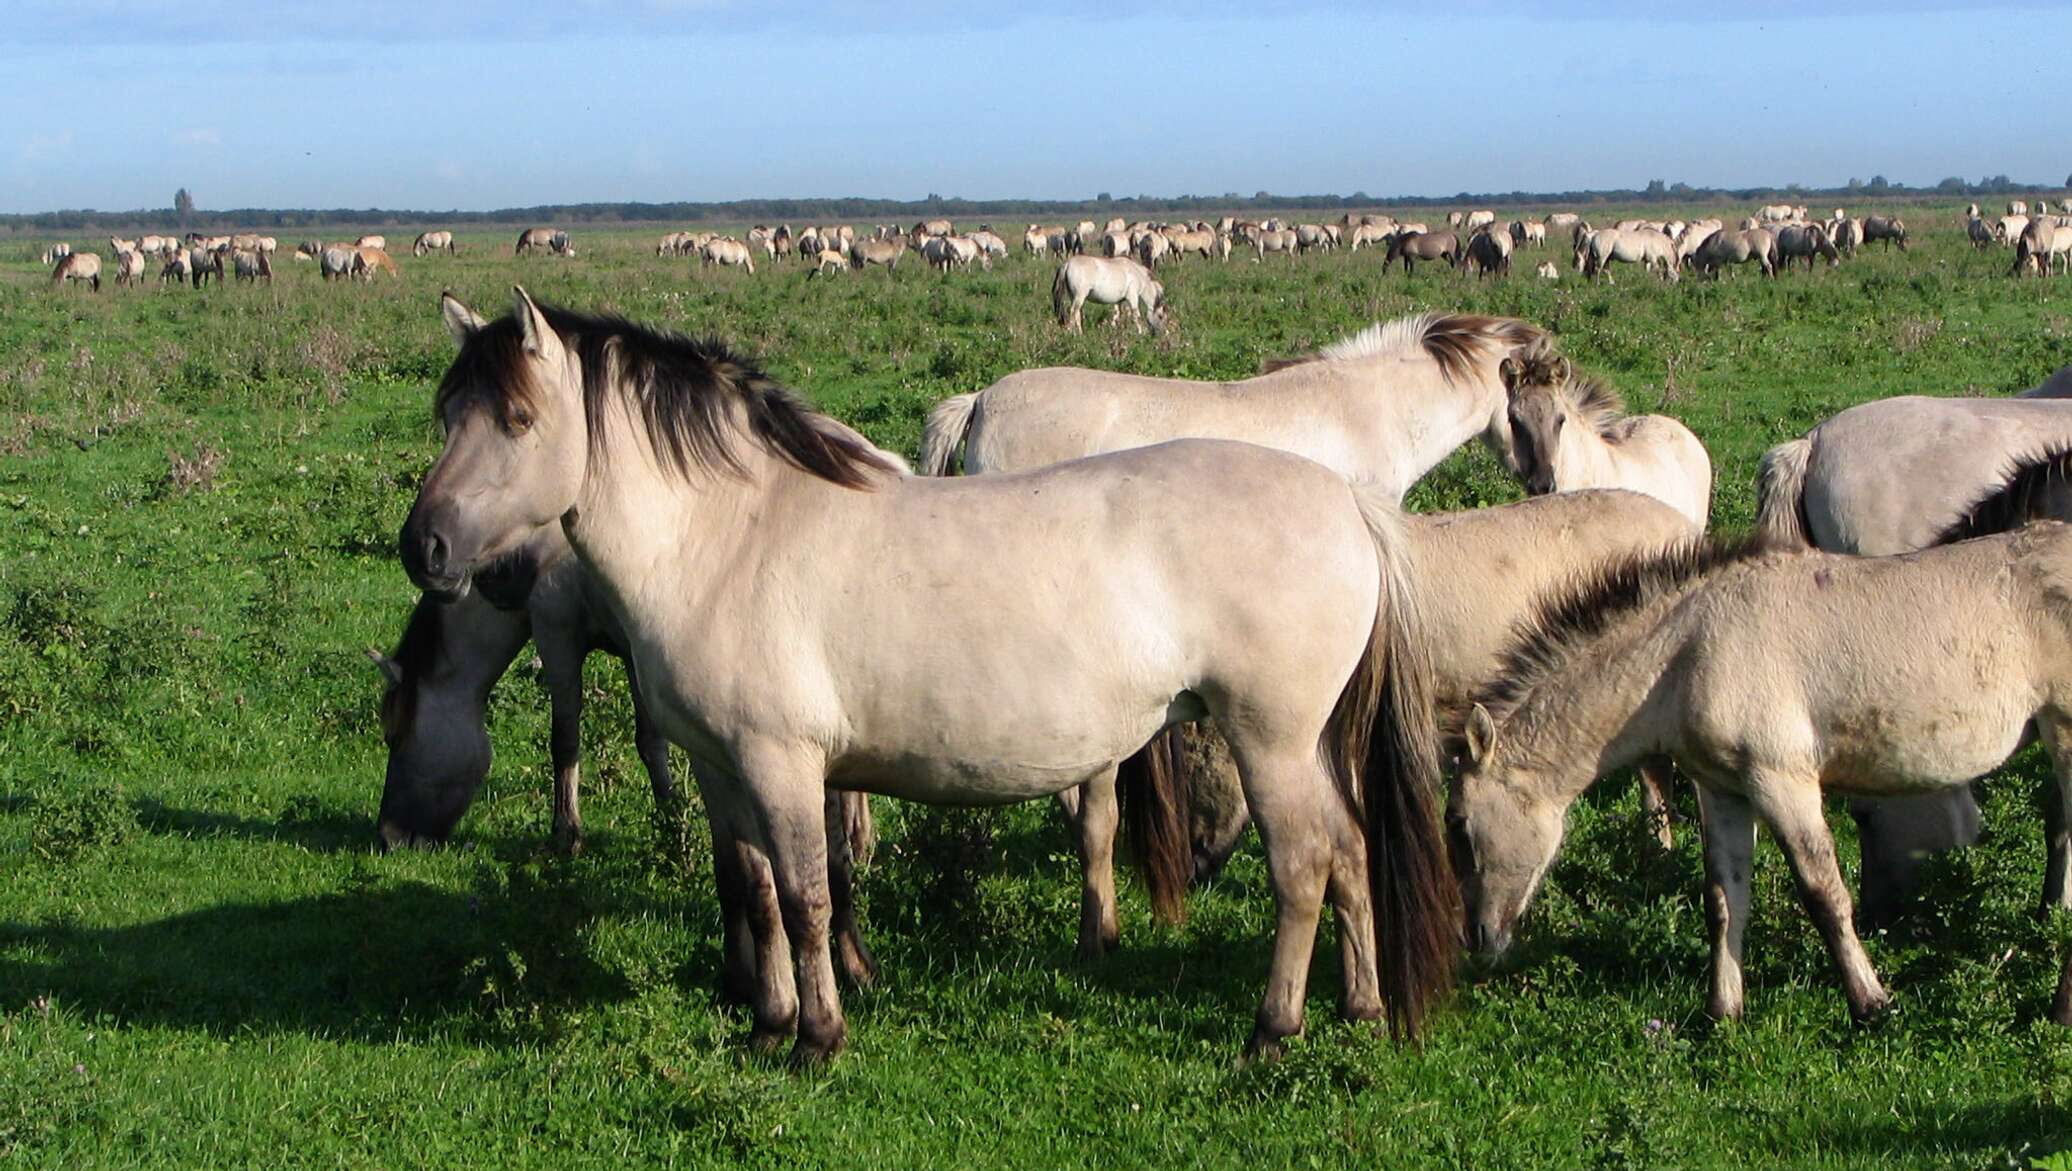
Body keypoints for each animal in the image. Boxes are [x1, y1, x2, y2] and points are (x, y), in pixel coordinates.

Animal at [404, 290, 1466, 1061]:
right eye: (447, 411)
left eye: (517, 417)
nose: (427, 547)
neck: (728, 537)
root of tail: (1346, 502)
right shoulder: (719, 767)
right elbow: (752, 890)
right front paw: (768, 1023)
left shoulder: (784, 764)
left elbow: (807, 896)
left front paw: (819, 1037)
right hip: (1309, 743)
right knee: (1351, 850)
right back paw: (1362, 1007)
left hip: (1270, 739)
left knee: (1304, 864)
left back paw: (1272, 1029)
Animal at [1450, 524, 2072, 1027]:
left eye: (1459, 825)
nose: (1477, 938)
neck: (1686, 653)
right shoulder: (1723, 790)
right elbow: (1724, 898)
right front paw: (1722, 1012)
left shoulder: (1782, 783)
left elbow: (1824, 894)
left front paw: (1871, 1004)